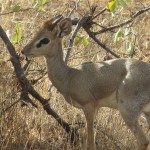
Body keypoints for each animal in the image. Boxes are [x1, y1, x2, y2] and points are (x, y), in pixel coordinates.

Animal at [21, 15, 150, 149]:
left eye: (45, 40)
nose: (24, 50)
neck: (69, 76)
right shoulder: (96, 108)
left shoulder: (88, 106)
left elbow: (91, 141)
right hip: (147, 113)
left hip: (127, 111)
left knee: (143, 141)